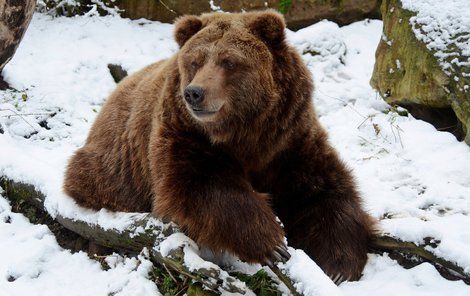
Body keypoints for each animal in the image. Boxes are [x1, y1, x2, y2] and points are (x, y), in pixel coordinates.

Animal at [64, 9, 376, 282]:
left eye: (229, 61)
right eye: (195, 61)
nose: (194, 93)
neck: (244, 132)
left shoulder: (289, 139)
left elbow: (323, 189)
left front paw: (338, 265)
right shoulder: (184, 133)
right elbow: (202, 185)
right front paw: (271, 241)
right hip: (116, 167)